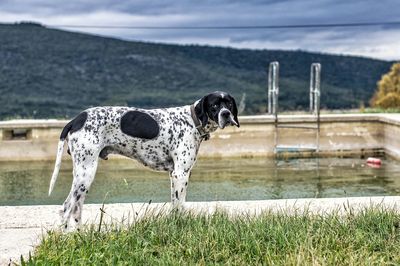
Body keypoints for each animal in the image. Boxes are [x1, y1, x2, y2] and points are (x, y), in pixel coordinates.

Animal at [48, 91, 239, 229]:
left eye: (229, 104)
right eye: (215, 105)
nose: (226, 114)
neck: (191, 120)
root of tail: (76, 119)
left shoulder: (174, 175)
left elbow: (174, 204)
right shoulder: (180, 174)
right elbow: (179, 205)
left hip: (82, 176)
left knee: (76, 209)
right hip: (86, 172)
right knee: (67, 208)